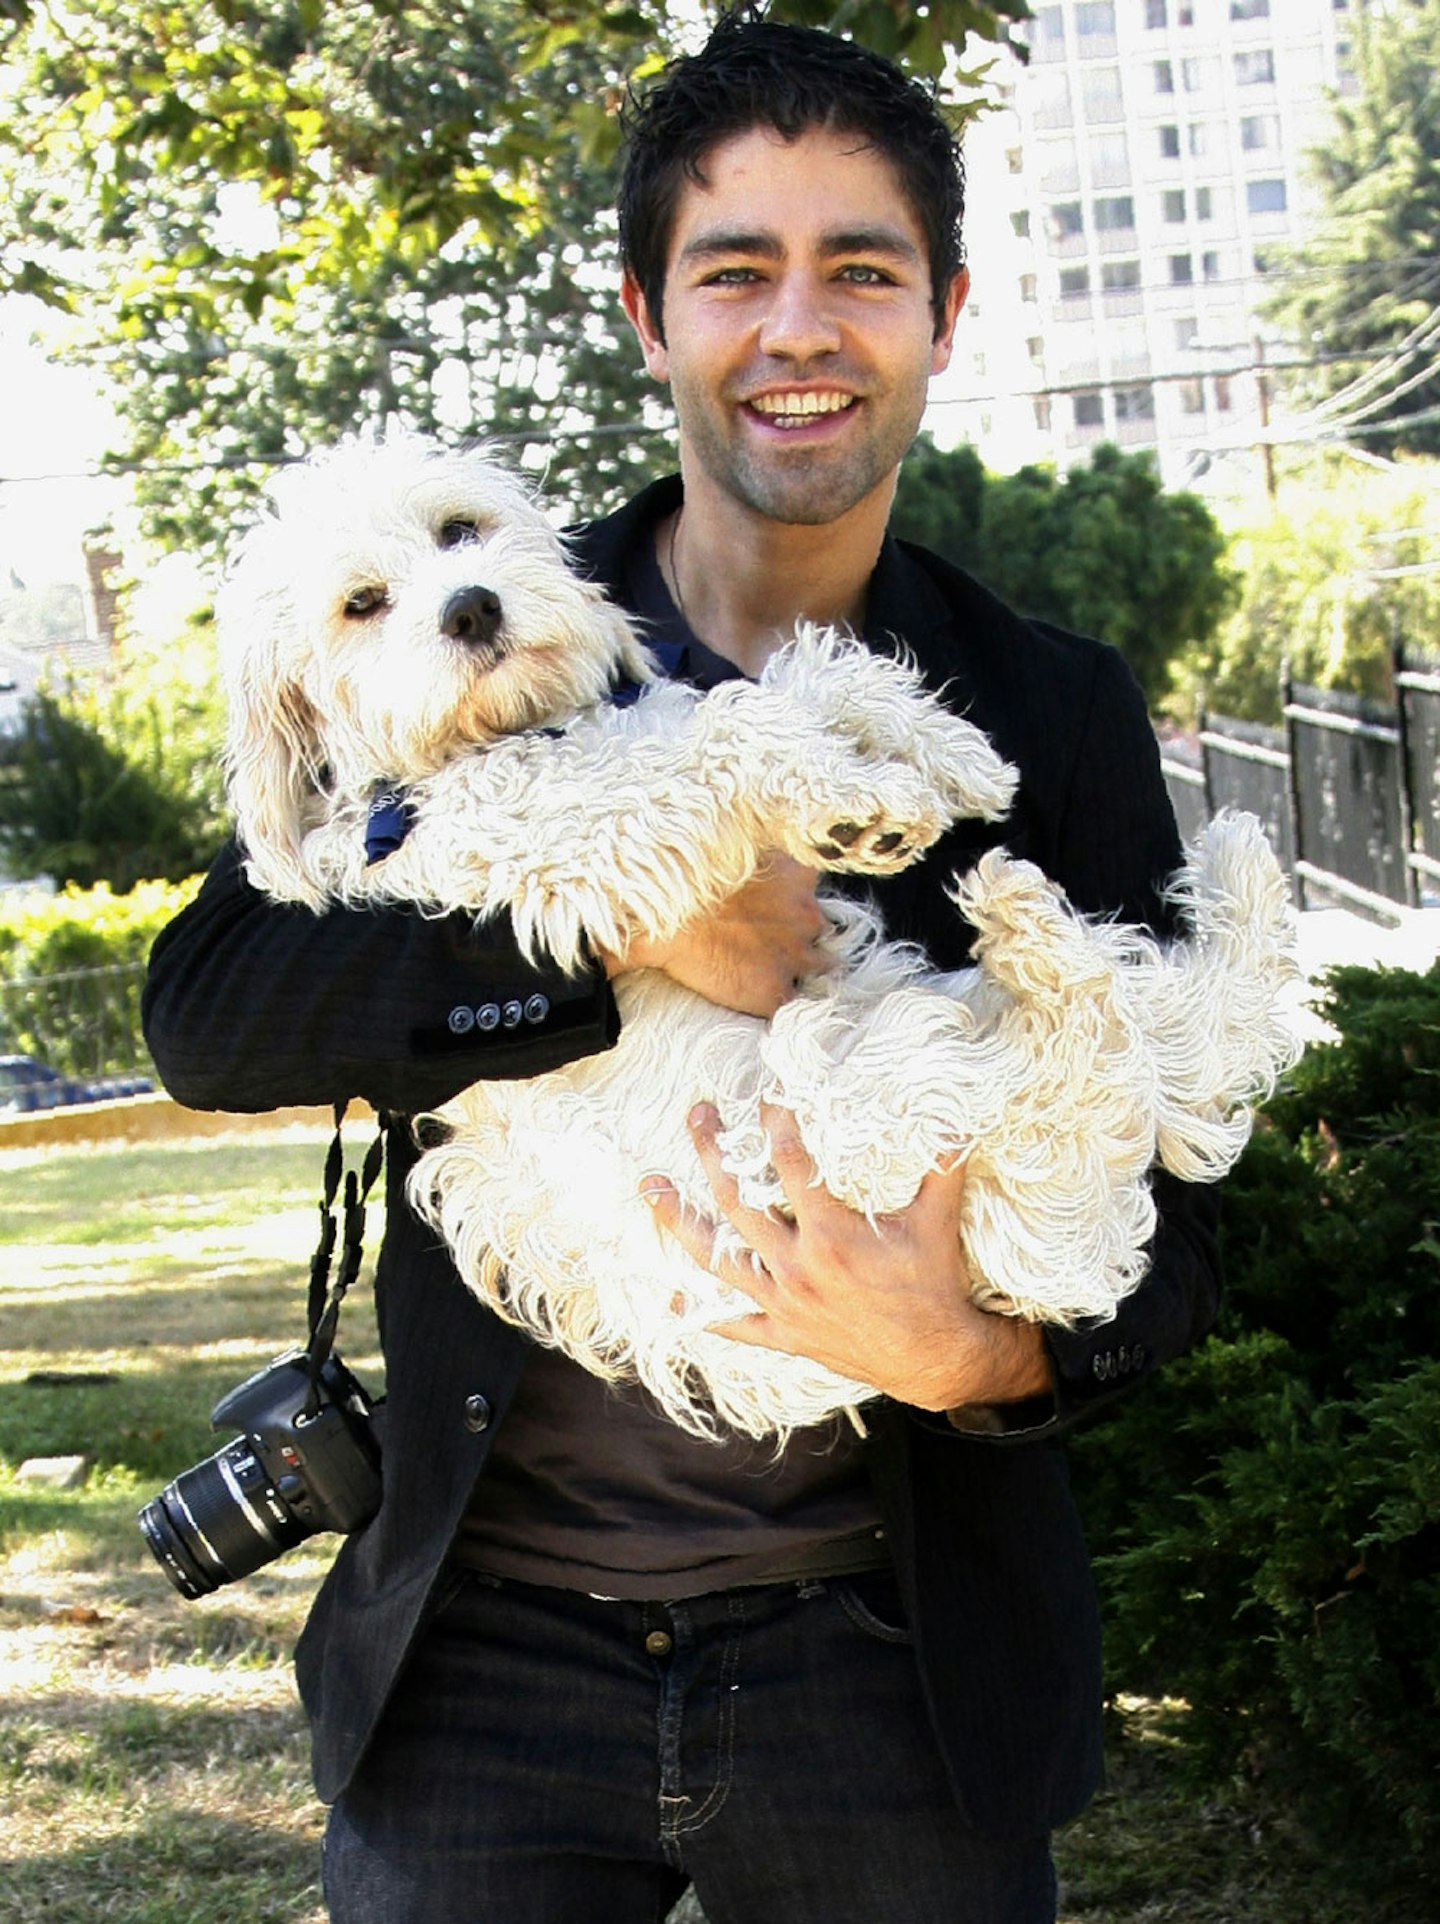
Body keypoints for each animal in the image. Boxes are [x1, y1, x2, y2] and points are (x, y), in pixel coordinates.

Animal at [216, 429, 1301, 1439]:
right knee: (1104, 1026)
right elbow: (733, 725)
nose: (471, 607)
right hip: (859, 1104)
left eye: (459, 530)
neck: (523, 733)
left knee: (1179, 1025)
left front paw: (950, 752)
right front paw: (858, 800)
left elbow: (799, 674)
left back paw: (1226, 872)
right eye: (362, 603)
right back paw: (1037, 914)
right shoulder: (577, 837)